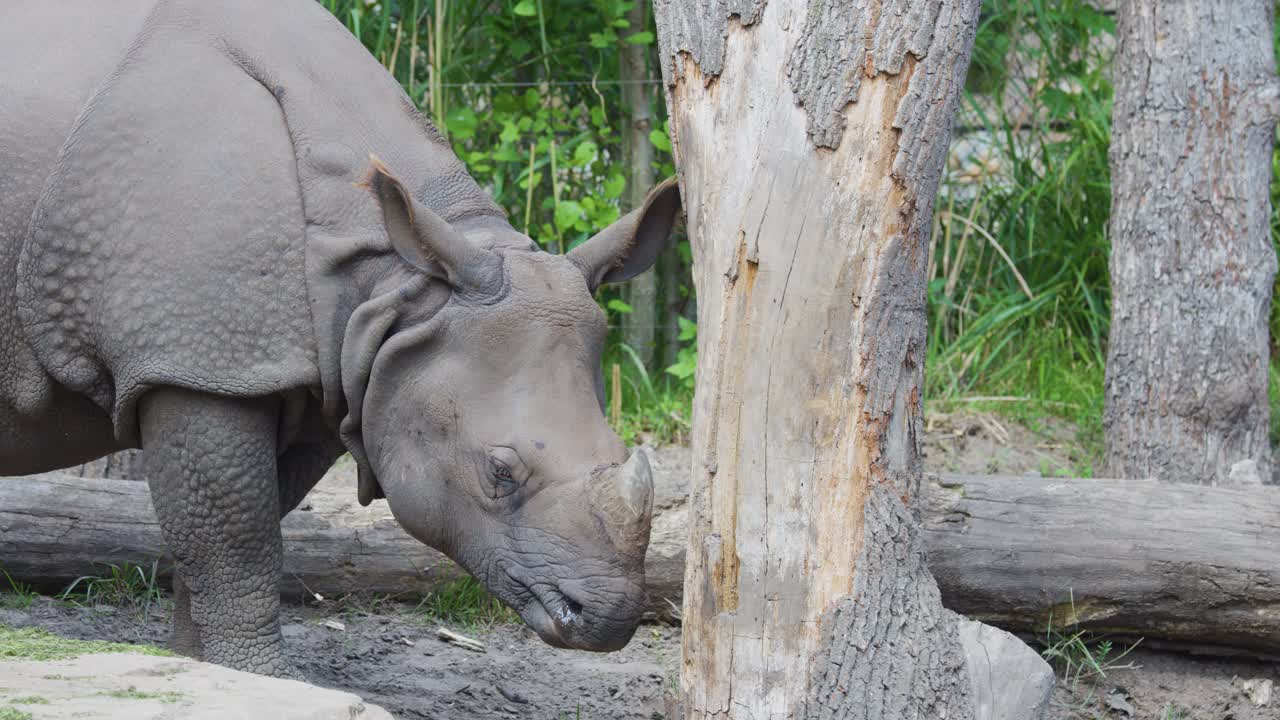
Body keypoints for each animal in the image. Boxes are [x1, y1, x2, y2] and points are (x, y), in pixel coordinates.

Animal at [0, 1, 680, 676]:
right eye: (499, 471)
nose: (607, 617)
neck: (401, 284)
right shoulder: (194, 362)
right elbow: (235, 540)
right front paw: (261, 678)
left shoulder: (309, 372)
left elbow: (242, 524)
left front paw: (206, 669)